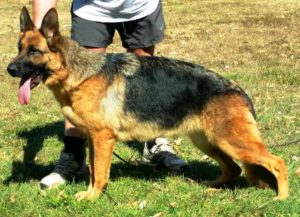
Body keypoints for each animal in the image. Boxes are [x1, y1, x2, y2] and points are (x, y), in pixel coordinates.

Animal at [7, 7, 288, 201]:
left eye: (34, 51)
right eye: (19, 48)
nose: (9, 69)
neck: (80, 74)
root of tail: (238, 91)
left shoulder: (103, 139)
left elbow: (100, 173)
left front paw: (92, 197)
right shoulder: (94, 140)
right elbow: (93, 171)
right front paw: (91, 194)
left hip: (232, 142)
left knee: (277, 162)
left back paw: (281, 198)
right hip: (209, 142)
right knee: (233, 169)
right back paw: (211, 187)